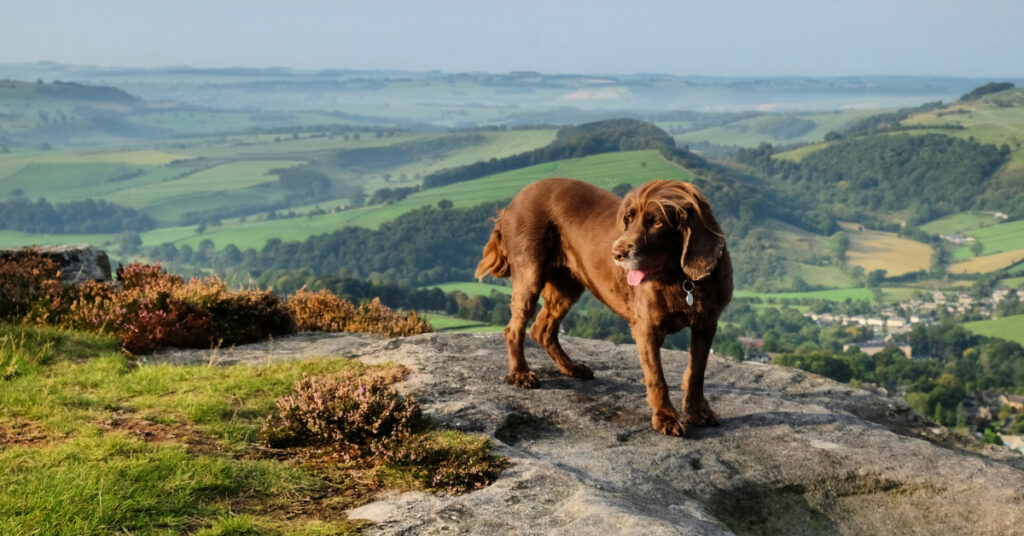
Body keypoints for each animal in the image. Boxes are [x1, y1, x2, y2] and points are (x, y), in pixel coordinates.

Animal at [475, 178, 733, 434]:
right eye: (628, 219)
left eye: (658, 222)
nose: (616, 253)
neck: (682, 279)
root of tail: (514, 202)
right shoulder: (646, 328)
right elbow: (657, 377)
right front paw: (666, 418)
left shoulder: (707, 324)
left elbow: (696, 372)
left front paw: (697, 412)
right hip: (530, 273)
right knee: (514, 329)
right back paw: (520, 373)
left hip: (568, 286)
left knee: (542, 329)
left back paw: (571, 367)